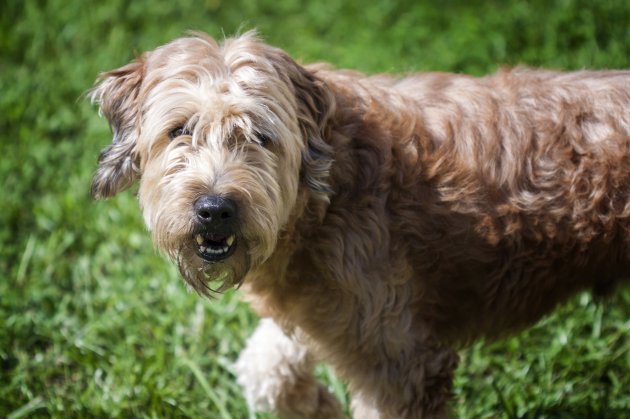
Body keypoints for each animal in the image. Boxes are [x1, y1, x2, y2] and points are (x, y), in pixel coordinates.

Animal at [91, 31, 628, 418]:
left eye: (261, 136)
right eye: (179, 130)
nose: (215, 208)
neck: (326, 197)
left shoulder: (401, 360)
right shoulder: (327, 315)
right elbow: (264, 370)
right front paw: (320, 406)